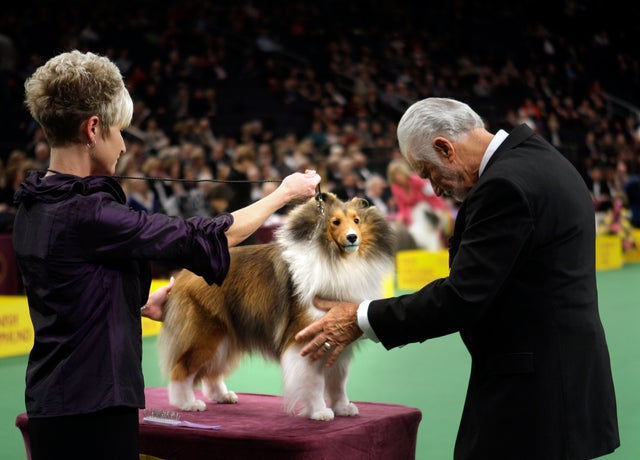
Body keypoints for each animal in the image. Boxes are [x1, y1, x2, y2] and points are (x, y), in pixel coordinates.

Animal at [158, 190, 396, 420]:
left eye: (357, 220)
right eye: (335, 222)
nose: (352, 237)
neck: (336, 258)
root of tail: (182, 274)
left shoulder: (336, 338)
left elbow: (338, 381)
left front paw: (343, 408)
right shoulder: (305, 339)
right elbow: (315, 382)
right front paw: (320, 412)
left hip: (226, 336)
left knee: (211, 371)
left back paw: (222, 396)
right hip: (206, 334)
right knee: (182, 369)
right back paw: (187, 403)